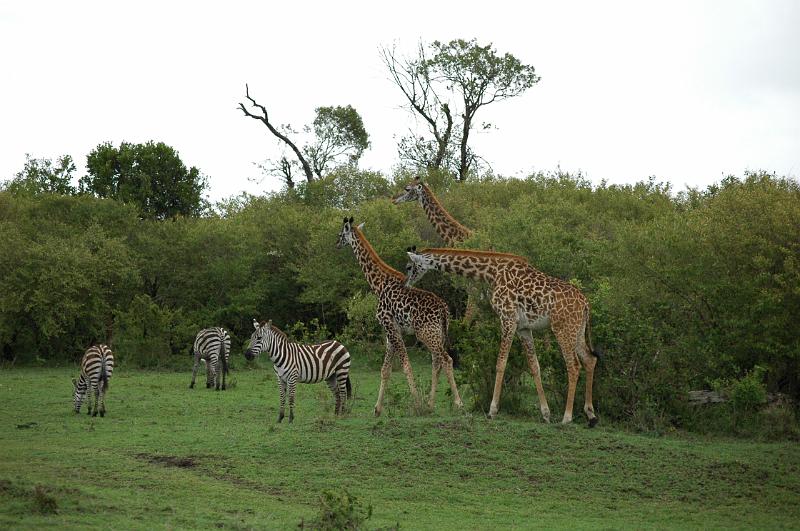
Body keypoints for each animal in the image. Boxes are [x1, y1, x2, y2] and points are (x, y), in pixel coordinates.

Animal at [335, 217, 463, 416]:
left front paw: (416, 403)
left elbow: (405, 365)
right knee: (437, 361)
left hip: (426, 333)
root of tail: (444, 310)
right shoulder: (392, 330)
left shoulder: (389, 325)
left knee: (446, 359)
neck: (378, 283)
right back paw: (430, 404)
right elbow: (385, 369)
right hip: (438, 333)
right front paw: (377, 409)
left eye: (341, 234)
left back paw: (457, 403)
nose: (336, 244)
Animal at [404, 247, 599, 427]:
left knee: (574, 366)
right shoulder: (523, 328)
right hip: (577, 331)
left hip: (562, 329)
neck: (491, 273)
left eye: (408, 267)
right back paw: (591, 415)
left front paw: (492, 410)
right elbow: (534, 366)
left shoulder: (507, 319)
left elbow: (500, 363)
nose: (406, 285)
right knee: (590, 359)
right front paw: (546, 414)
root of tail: (586, 304)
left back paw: (567, 417)